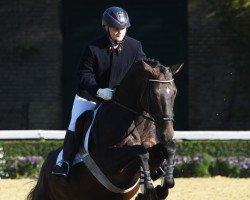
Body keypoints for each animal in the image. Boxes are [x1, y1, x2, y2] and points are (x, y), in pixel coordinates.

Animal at [27, 58, 183, 199]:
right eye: (154, 94)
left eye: (175, 92)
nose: (167, 134)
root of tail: (44, 169)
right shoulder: (110, 163)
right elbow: (141, 152)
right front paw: (149, 188)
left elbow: (168, 148)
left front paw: (165, 183)